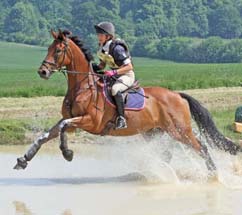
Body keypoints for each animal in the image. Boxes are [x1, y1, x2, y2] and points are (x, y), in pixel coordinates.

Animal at [14, 29, 241, 175]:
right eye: (48, 47)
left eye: (59, 50)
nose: (42, 71)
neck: (81, 87)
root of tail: (177, 95)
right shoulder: (72, 121)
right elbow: (46, 135)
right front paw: (23, 160)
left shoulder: (89, 121)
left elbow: (62, 127)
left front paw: (67, 153)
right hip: (155, 132)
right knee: (168, 153)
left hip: (179, 130)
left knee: (201, 147)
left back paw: (213, 176)